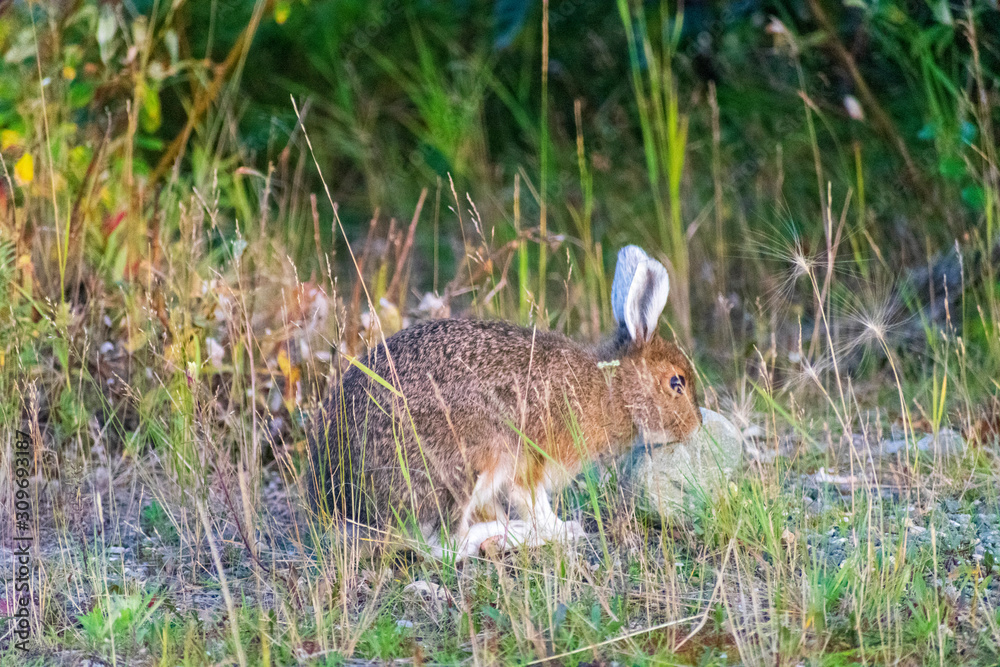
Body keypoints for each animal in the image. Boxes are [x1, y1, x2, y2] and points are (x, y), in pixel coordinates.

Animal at [307, 245, 702, 558]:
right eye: (676, 383)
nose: (696, 426)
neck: (610, 389)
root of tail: (342, 505)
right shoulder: (527, 460)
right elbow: (536, 504)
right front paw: (564, 530)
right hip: (467, 460)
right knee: (442, 545)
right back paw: (512, 535)